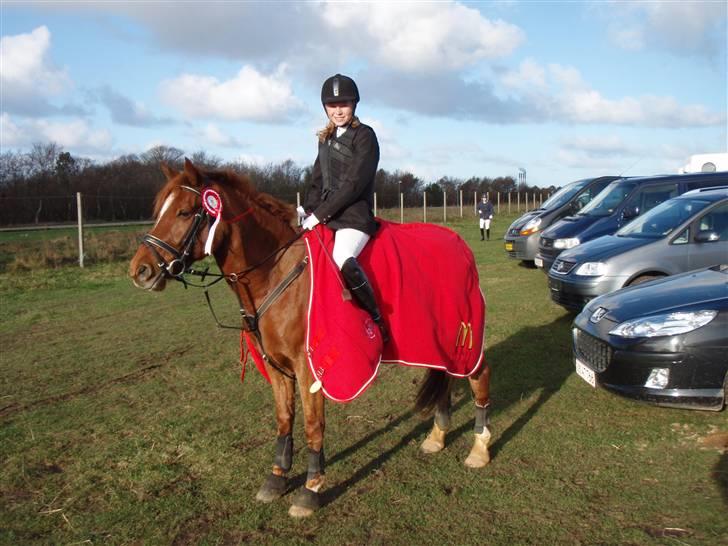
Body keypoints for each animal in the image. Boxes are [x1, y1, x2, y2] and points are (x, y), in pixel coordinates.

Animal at [132, 159, 494, 516]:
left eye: (184, 212)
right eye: (159, 210)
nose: (140, 271)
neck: (275, 270)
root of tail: (458, 243)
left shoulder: (310, 368)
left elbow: (312, 424)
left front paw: (311, 489)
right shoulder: (276, 366)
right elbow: (284, 420)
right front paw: (277, 478)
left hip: (463, 334)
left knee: (478, 375)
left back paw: (479, 448)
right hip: (435, 339)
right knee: (445, 375)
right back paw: (437, 436)